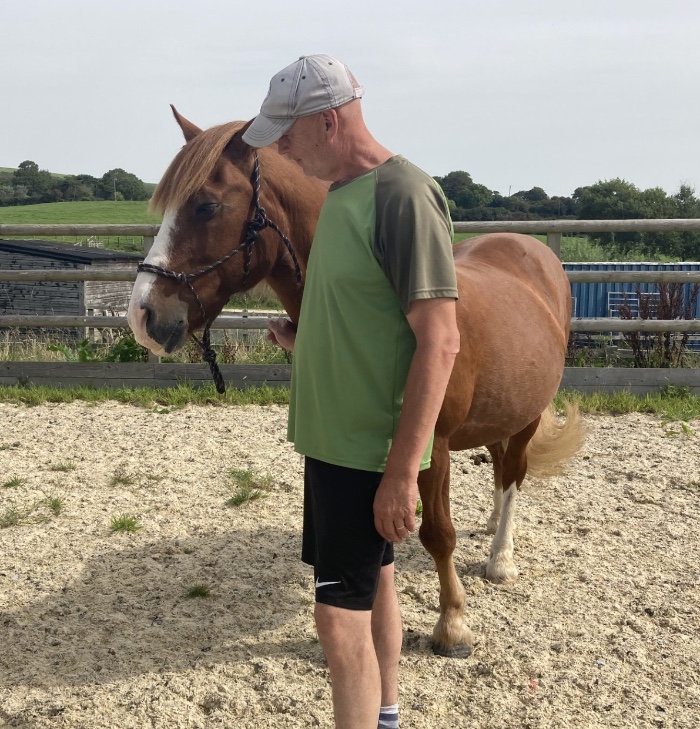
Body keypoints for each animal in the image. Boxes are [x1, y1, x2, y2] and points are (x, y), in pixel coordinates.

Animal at [129, 109, 584, 660]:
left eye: (206, 206)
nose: (142, 315)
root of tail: (531, 250)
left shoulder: (433, 448)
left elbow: (438, 534)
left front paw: (453, 623)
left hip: (529, 415)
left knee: (514, 471)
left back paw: (501, 557)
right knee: (500, 467)